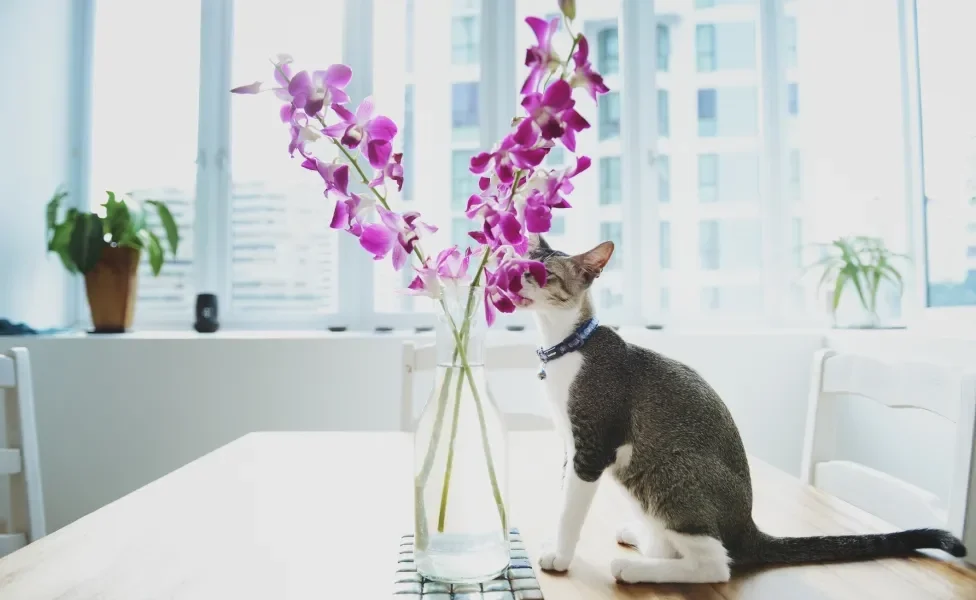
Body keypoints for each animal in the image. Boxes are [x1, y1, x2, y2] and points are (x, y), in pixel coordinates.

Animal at [516, 237, 964, 584]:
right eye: (520, 263)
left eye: (544, 274)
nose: (516, 275)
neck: (566, 347)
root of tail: (748, 526)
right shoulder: (571, 445)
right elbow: (563, 496)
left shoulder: (593, 445)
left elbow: (570, 509)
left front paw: (560, 555)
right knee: (678, 546)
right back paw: (642, 537)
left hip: (669, 471)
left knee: (716, 564)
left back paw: (636, 569)